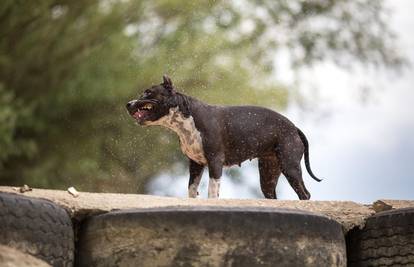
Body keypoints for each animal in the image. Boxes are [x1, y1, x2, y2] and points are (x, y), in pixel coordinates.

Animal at [124, 75, 322, 199]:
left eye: (148, 92)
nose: (128, 103)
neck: (187, 119)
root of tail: (294, 127)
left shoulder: (215, 162)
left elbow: (212, 192)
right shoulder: (195, 164)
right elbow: (191, 189)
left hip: (290, 167)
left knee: (304, 194)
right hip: (269, 173)